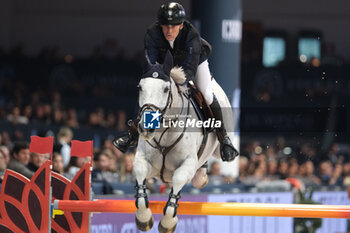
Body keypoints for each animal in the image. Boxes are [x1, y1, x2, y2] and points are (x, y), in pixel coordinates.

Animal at [134, 52, 235, 232]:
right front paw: (143, 218)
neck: (165, 132)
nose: (146, 128)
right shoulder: (145, 161)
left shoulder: (187, 165)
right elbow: (140, 173)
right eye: (140, 87)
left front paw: (168, 223)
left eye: (166, 89)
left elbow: (179, 179)